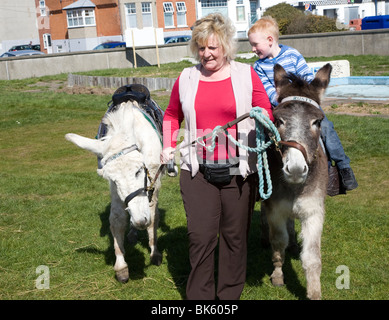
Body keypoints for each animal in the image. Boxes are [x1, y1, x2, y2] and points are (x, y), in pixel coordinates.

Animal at [65, 102, 161, 282]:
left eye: (139, 170)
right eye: (114, 180)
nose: (140, 221)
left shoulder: (153, 184)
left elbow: (152, 217)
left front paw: (154, 252)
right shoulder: (116, 192)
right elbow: (117, 219)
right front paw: (121, 266)